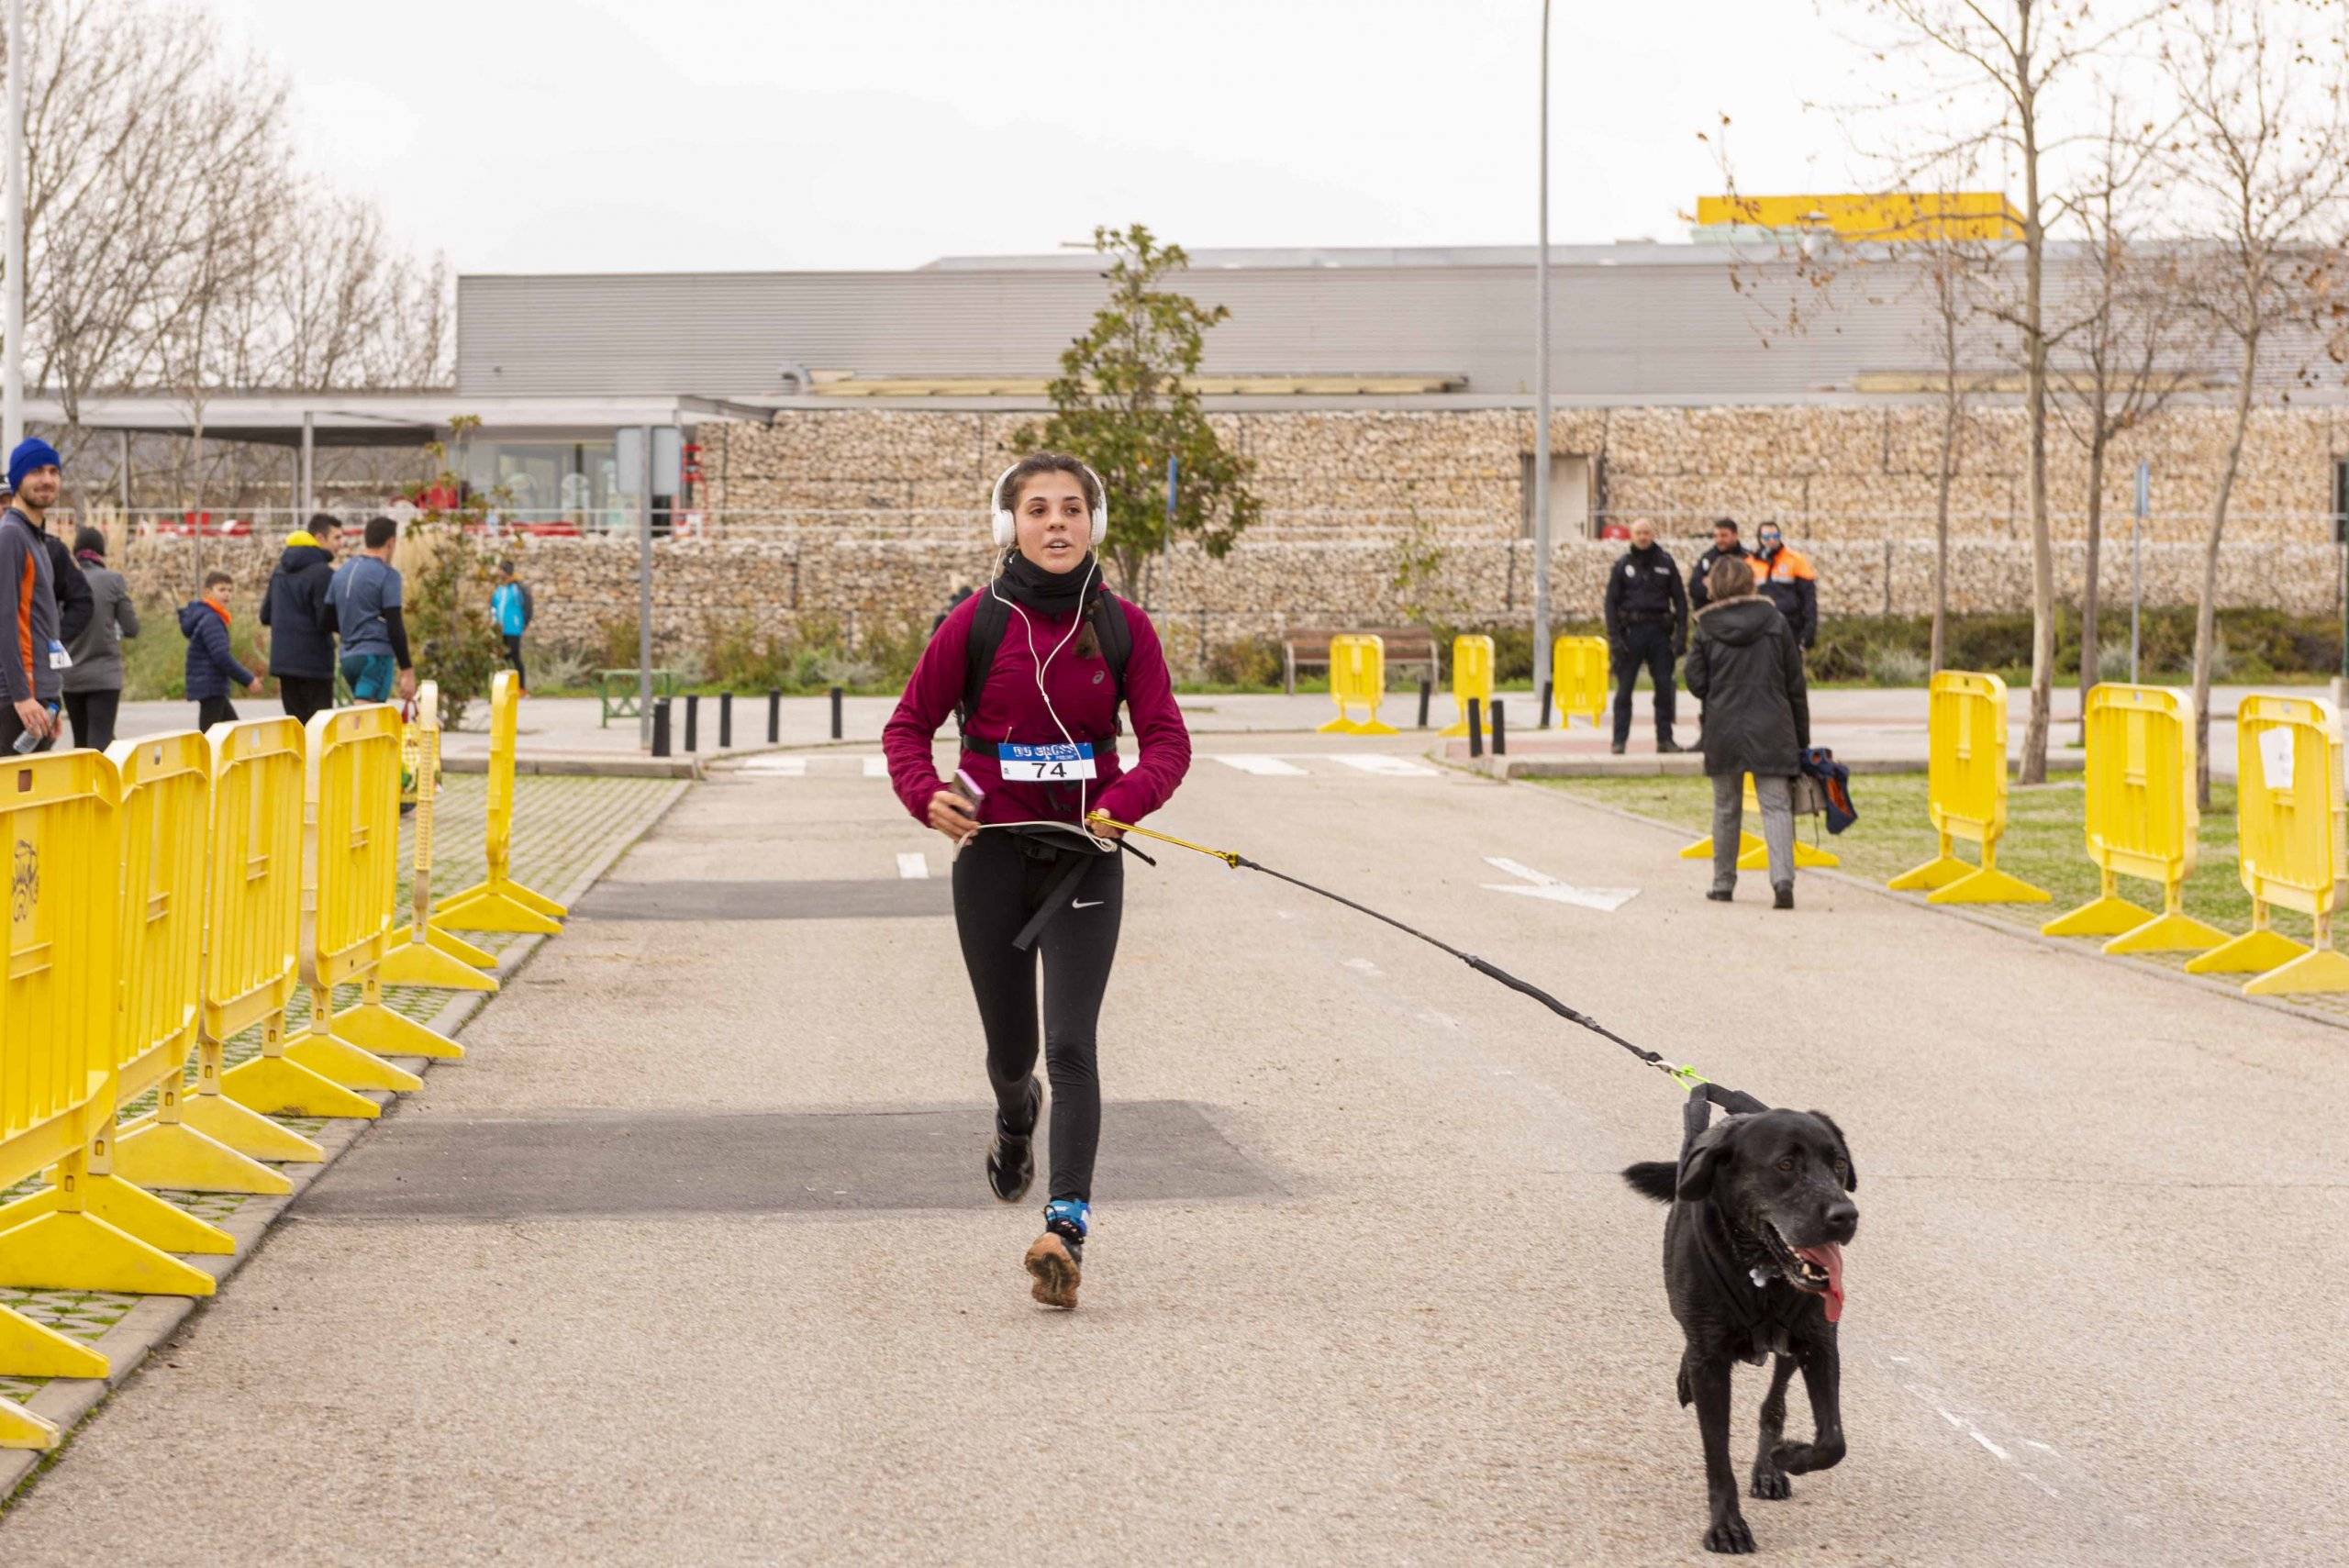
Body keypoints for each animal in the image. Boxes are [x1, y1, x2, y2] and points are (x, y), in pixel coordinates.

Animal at [1625, 1089, 1860, 1558]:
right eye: (1785, 1165)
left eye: (1839, 1164)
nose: (1846, 1215)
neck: (1760, 1272)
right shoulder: (1711, 1362)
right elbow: (1716, 1452)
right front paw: (1727, 1526)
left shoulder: (1820, 1345)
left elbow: (1832, 1441)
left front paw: (1787, 1457)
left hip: (1788, 1349)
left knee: (1774, 1405)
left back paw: (1769, 1467)